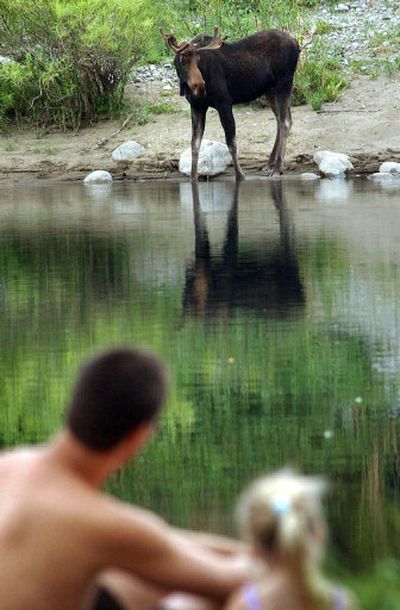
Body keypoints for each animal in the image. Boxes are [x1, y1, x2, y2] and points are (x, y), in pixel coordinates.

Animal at [159, 26, 300, 182]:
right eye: (182, 60)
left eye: (198, 59)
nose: (200, 86)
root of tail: (296, 43)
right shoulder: (197, 106)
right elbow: (194, 143)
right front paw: (193, 177)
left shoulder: (224, 102)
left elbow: (231, 141)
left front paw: (240, 175)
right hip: (270, 89)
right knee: (280, 119)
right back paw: (270, 163)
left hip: (284, 82)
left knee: (286, 121)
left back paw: (277, 168)